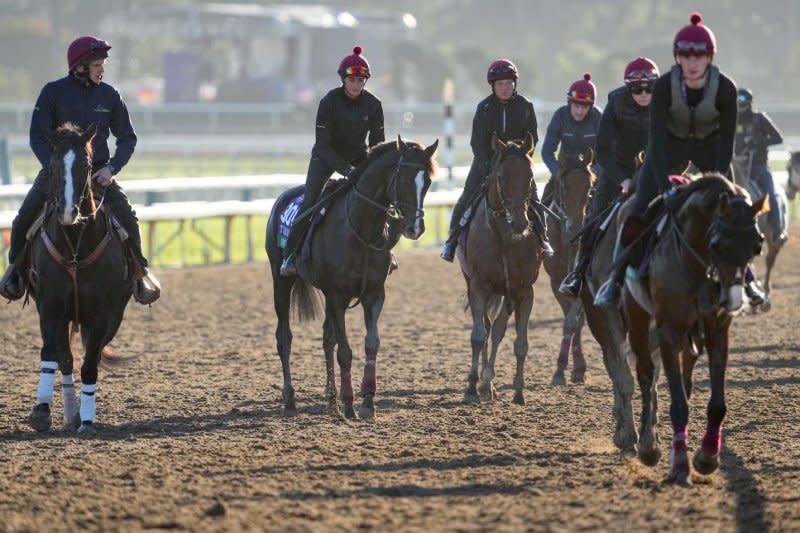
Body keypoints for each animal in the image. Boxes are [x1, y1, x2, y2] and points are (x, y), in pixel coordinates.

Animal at [25, 123, 132, 436]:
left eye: (86, 165)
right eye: (53, 165)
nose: (67, 212)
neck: (74, 244)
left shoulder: (102, 315)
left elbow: (90, 365)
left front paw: (86, 421)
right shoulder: (49, 308)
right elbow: (52, 355)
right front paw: (42, 411)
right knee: (65, 357)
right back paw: (69, 412)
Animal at [266, 136, 438, 420]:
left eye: (428, 182)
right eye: (403, 179)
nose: (415, 228)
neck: (361, 229)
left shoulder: (374, 294)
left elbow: (371, 343)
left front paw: (367, 401)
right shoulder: (337, 295)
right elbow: (345, 351)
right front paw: (349, 404)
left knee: (327, 338)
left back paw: (330, 399)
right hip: (281, 282)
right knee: (284, 337)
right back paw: (290, 398)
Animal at [456, 133, 544, 404]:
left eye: (530, 174)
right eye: (502, 176)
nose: (520, 223)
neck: (503, 235)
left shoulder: (524, 290)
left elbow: (520, 343)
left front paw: (519, 391)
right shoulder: (478, 285)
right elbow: (477, 335)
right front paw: (471, 386)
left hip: (506, 292)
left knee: (497, 330)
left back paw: (489, 382)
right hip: (476, 286)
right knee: (485, 328)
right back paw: (484, 383)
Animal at [620, 177, 764, 484]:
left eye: (757, 245)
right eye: (717, 244)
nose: (733, 300)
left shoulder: (718, 330)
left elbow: (716, 404)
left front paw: (707, 457)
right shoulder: (669, 332)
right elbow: (677, 403)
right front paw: (678, 465)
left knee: (684, 378)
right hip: (638, 319)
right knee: (646, 374)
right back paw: (648, 445)